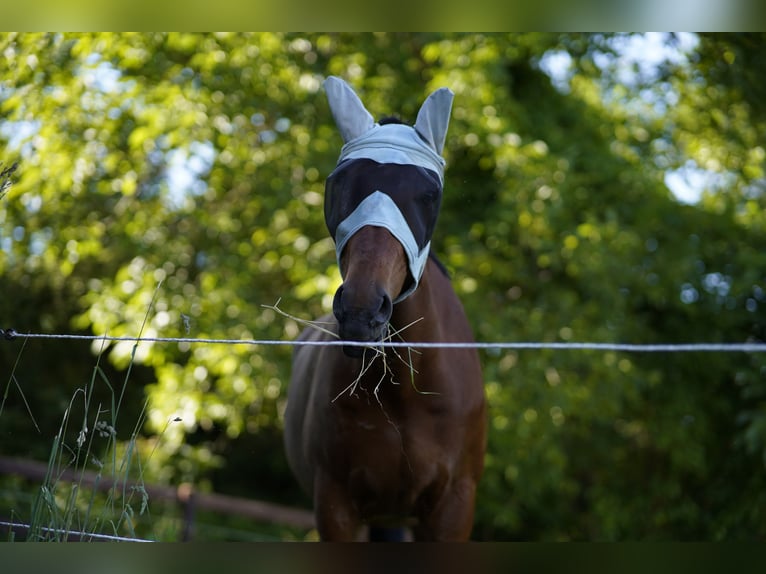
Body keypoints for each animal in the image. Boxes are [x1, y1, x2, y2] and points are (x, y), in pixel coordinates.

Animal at [282, 77, 486, 544]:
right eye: (337, 184)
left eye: (430, 195)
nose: (361, 310)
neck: (407, 396)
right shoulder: (337, 506)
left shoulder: (454, 506)